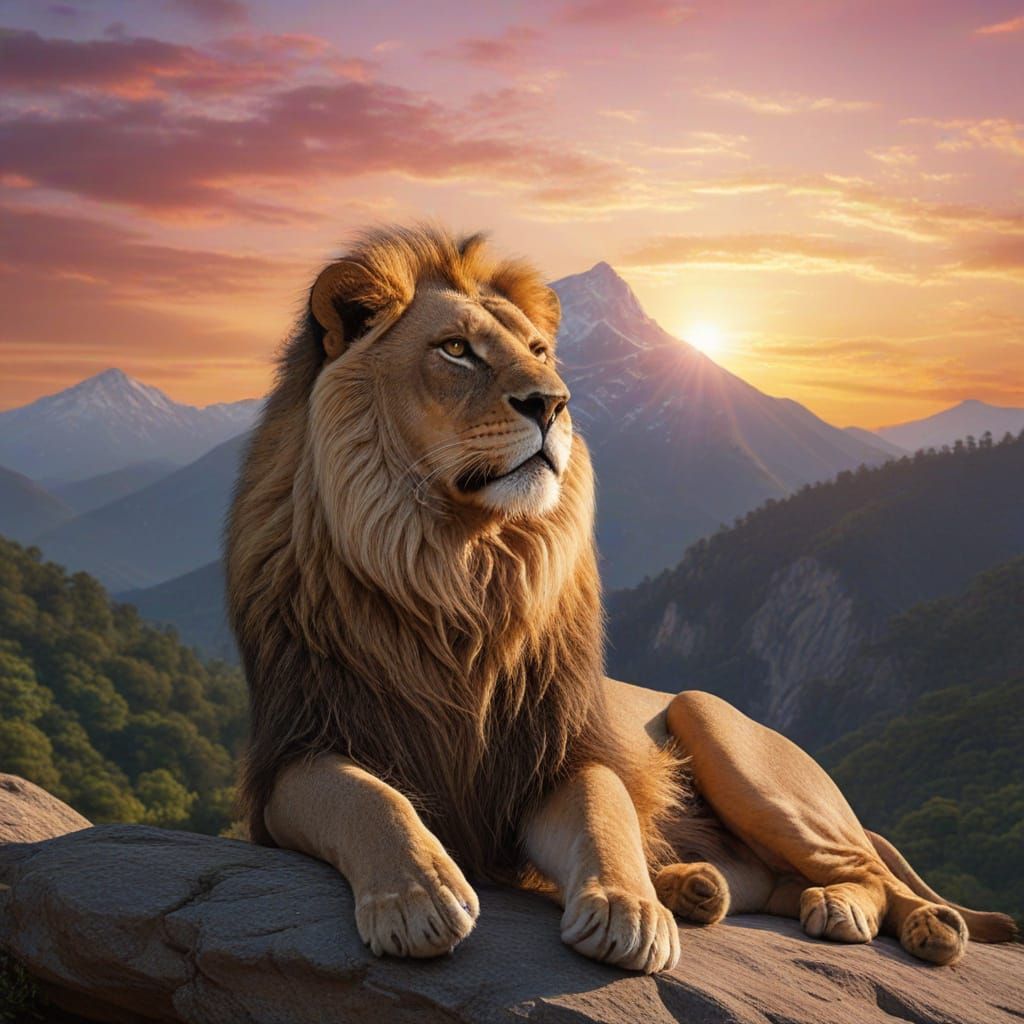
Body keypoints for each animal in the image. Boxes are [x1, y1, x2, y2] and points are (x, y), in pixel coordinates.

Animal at [226, 224, 1016, 974]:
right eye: (455, 350)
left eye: (540, 351)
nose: (553, 403)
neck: (462, 569)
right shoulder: (295, 753)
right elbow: (368, 796)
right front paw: (418, 894)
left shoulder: (552, 757)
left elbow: (604, 811)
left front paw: (627, 911)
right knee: (792, 880)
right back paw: (698, 886)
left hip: (719, 726)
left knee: (876, 872)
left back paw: (898, 919)